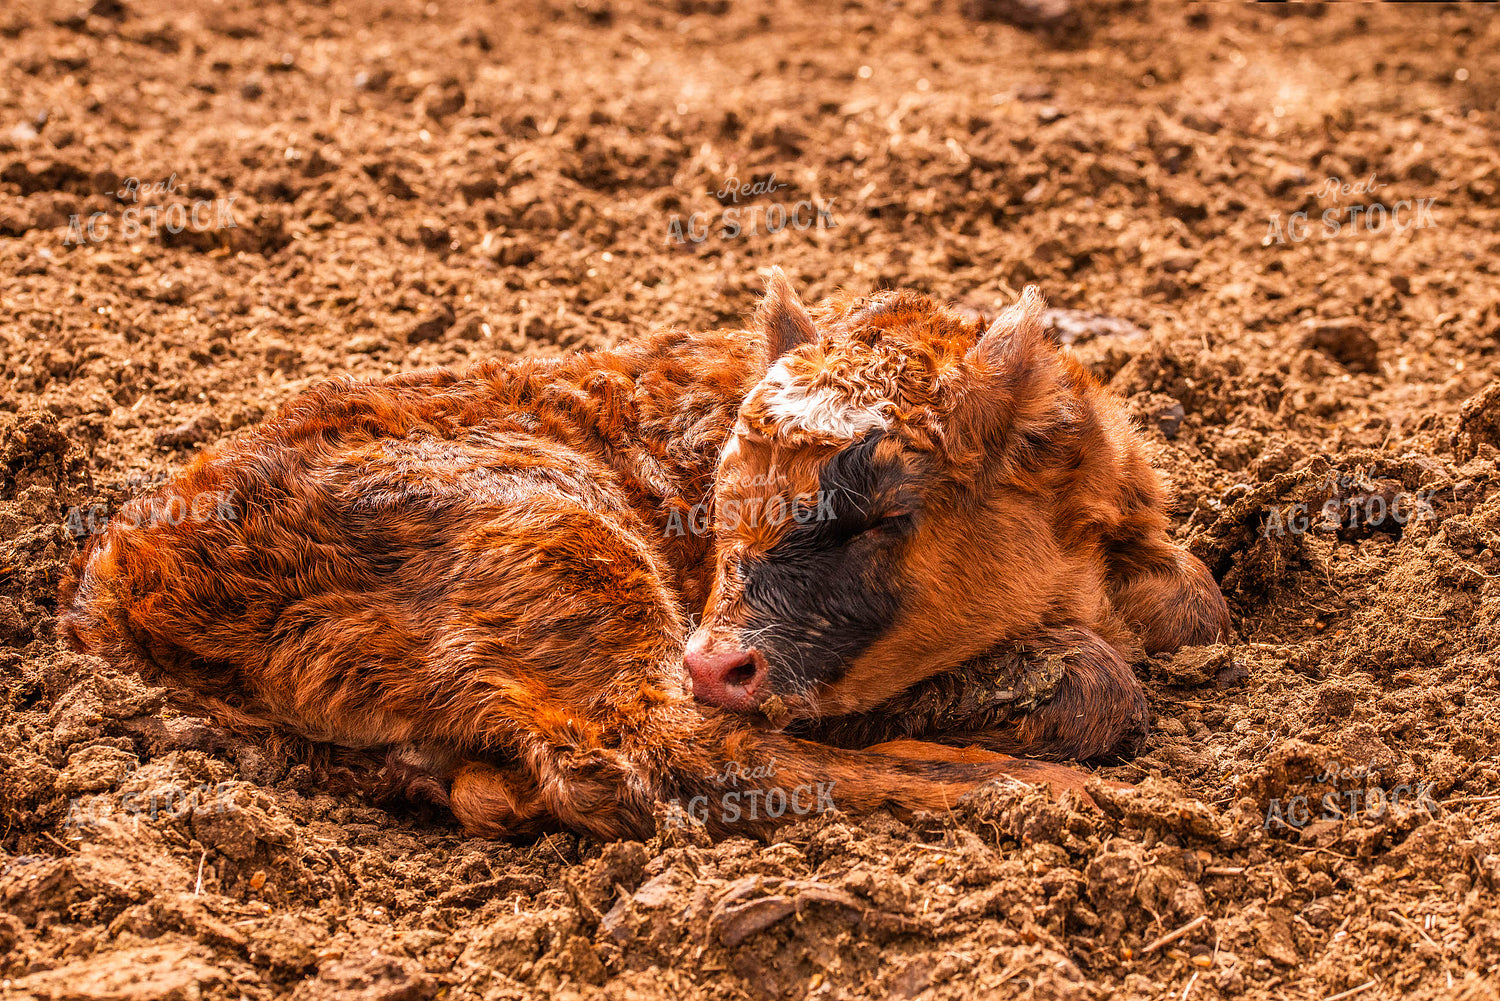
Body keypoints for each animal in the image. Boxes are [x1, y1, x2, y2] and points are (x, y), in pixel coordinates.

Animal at [58, 269, 1231, 840]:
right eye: (720, 498)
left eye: (884, 513)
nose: (717, 659)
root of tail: (133, 560)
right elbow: (1097, 676)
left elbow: (1193, 607)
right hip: (569, 549)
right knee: (684, 756)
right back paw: (1033, 790)